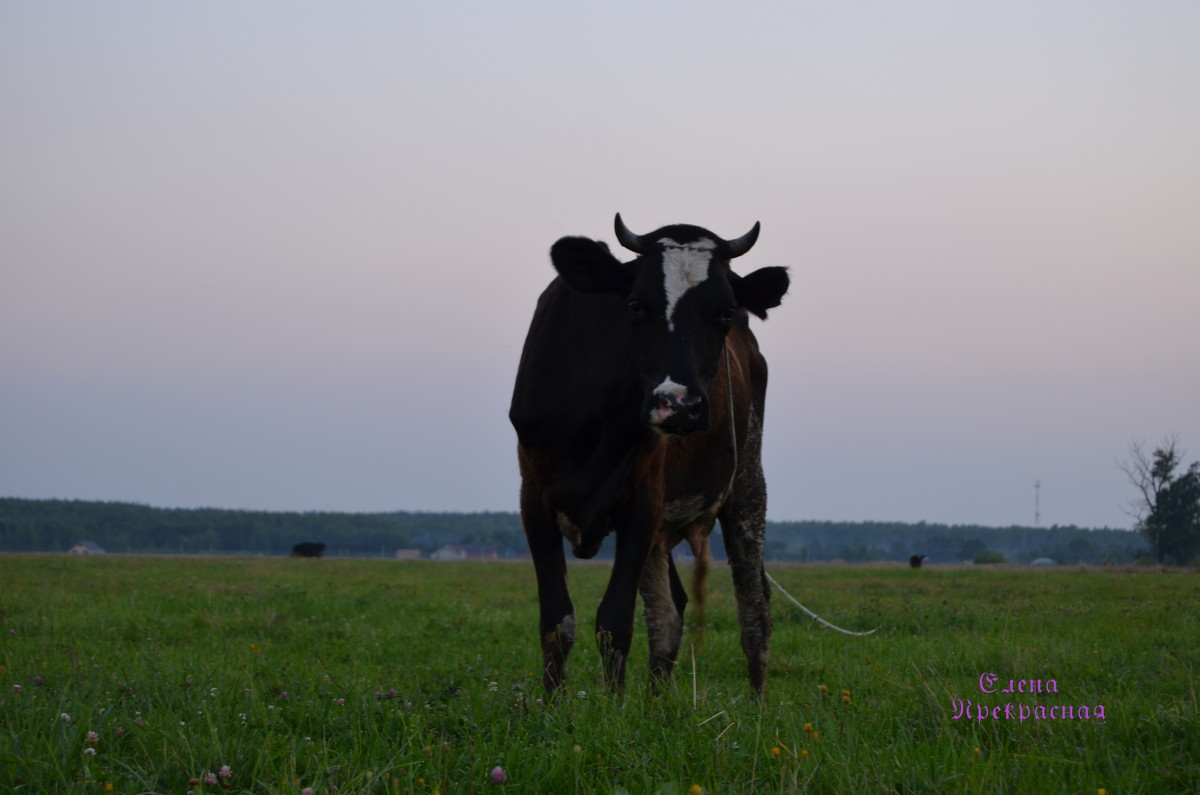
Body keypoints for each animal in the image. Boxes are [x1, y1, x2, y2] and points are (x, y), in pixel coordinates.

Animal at [511, 211, 792, 696]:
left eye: (724, 312)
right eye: (636, 306)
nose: (678, 404)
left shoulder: (642, 502)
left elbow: (615, 620)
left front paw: (613, 709)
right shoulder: (534, 499)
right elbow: (557, 621)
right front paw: (553, 706)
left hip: (747, 484)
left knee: (754, 610)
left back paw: (757, 706)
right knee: (669, 610)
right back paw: (655, 704)